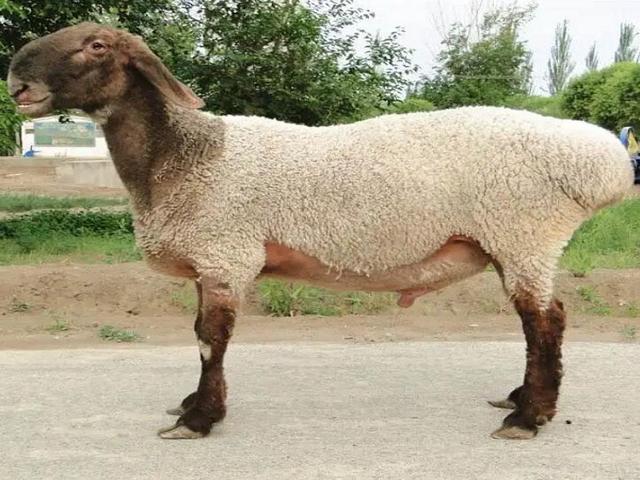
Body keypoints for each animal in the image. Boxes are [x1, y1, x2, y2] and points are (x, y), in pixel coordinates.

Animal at [8, 22, 633, 441]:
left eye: (96, 46)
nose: (16, 81)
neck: (184, 158)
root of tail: (604, 159)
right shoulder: (210, 260)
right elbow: (200, 335)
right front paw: (191, 405)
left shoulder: (226, 251)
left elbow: (211, 340)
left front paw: (199, 419)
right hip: (520, 240)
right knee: (543, 321)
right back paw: (522, 400)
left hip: (523, 233)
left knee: (545, 323)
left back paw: (528, 417)